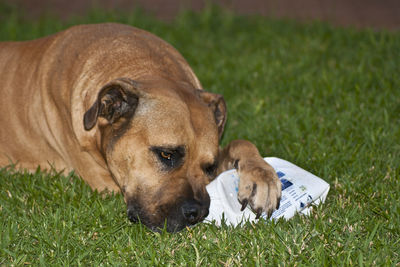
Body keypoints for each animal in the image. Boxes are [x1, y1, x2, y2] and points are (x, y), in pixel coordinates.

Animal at [0, 23, 282, 232]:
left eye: (210, 167)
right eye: (166, 154)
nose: (198, 213)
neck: (143, 67)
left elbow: (240, 142)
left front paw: (262, 177)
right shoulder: (105, 184)